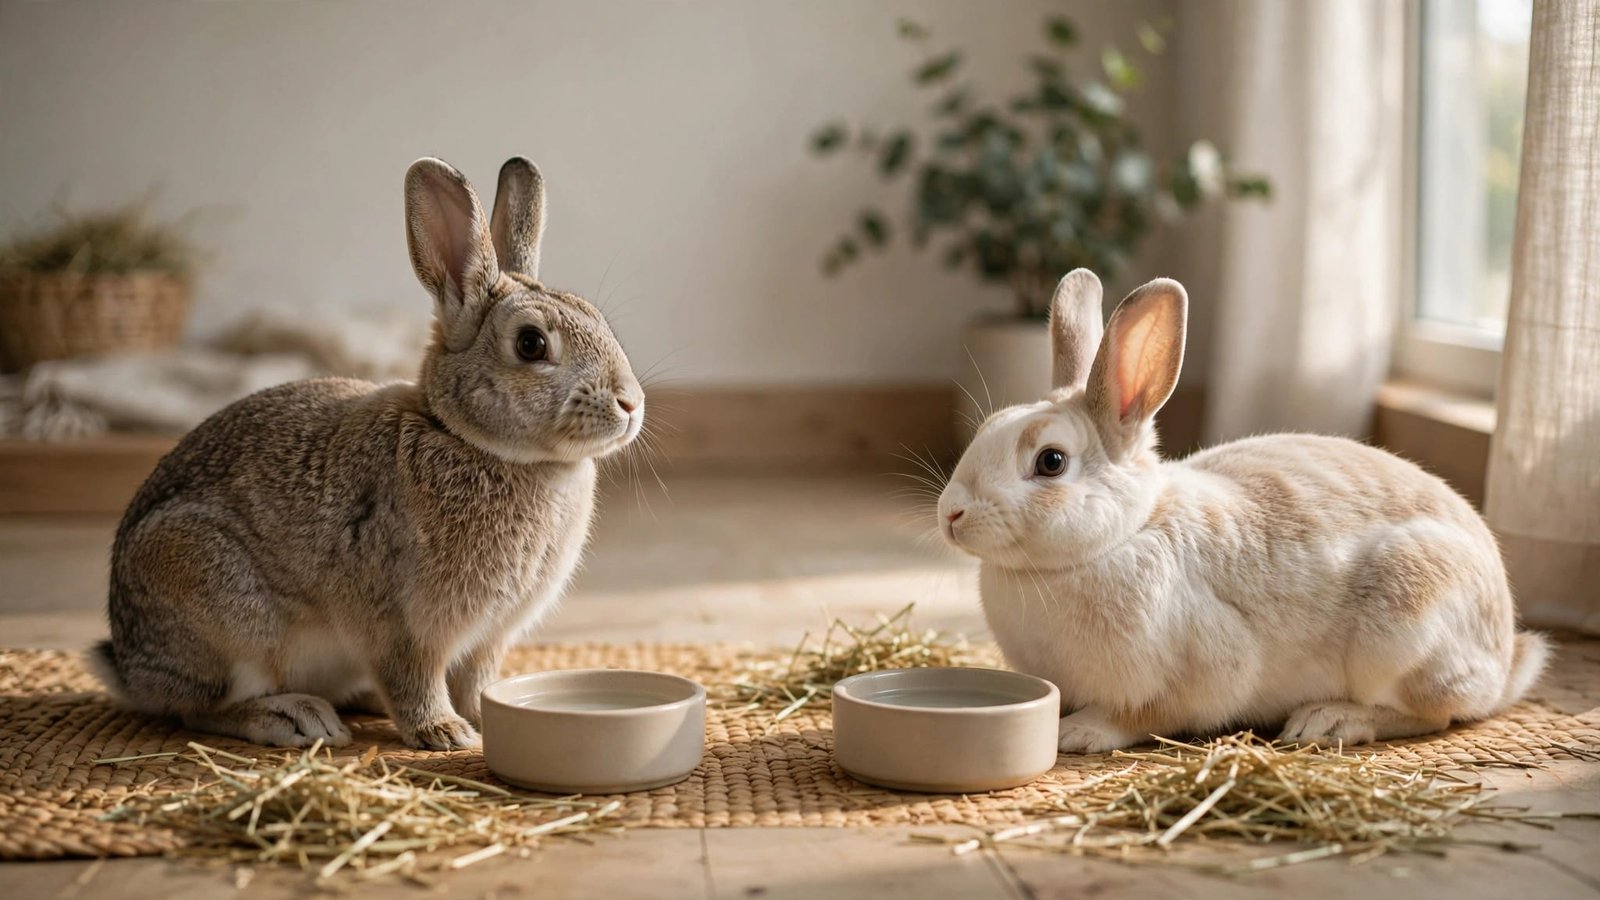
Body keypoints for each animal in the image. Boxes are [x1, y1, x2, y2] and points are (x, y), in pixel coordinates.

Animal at [88, 156, 645, 751]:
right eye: (531, 344)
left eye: (598, 319)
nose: (631, 403)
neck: (465, 436)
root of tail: (129, 667)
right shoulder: (402, 625)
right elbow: (413, 678)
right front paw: (446, 732)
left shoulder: (489, 636)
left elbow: (477, 679)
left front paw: (481, 716)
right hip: (218, 606)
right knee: (197, 710)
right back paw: (294, 718)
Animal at [937, 268, 1549, 753]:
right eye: (989, 427)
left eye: (1051, 461)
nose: (951, 514)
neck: (1123, 534)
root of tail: (1502, 659)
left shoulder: (1198, 672)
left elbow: (1142, 715)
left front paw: (1079, 733)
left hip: (1406, 623)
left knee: (1431, 712)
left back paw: (1327, 721)